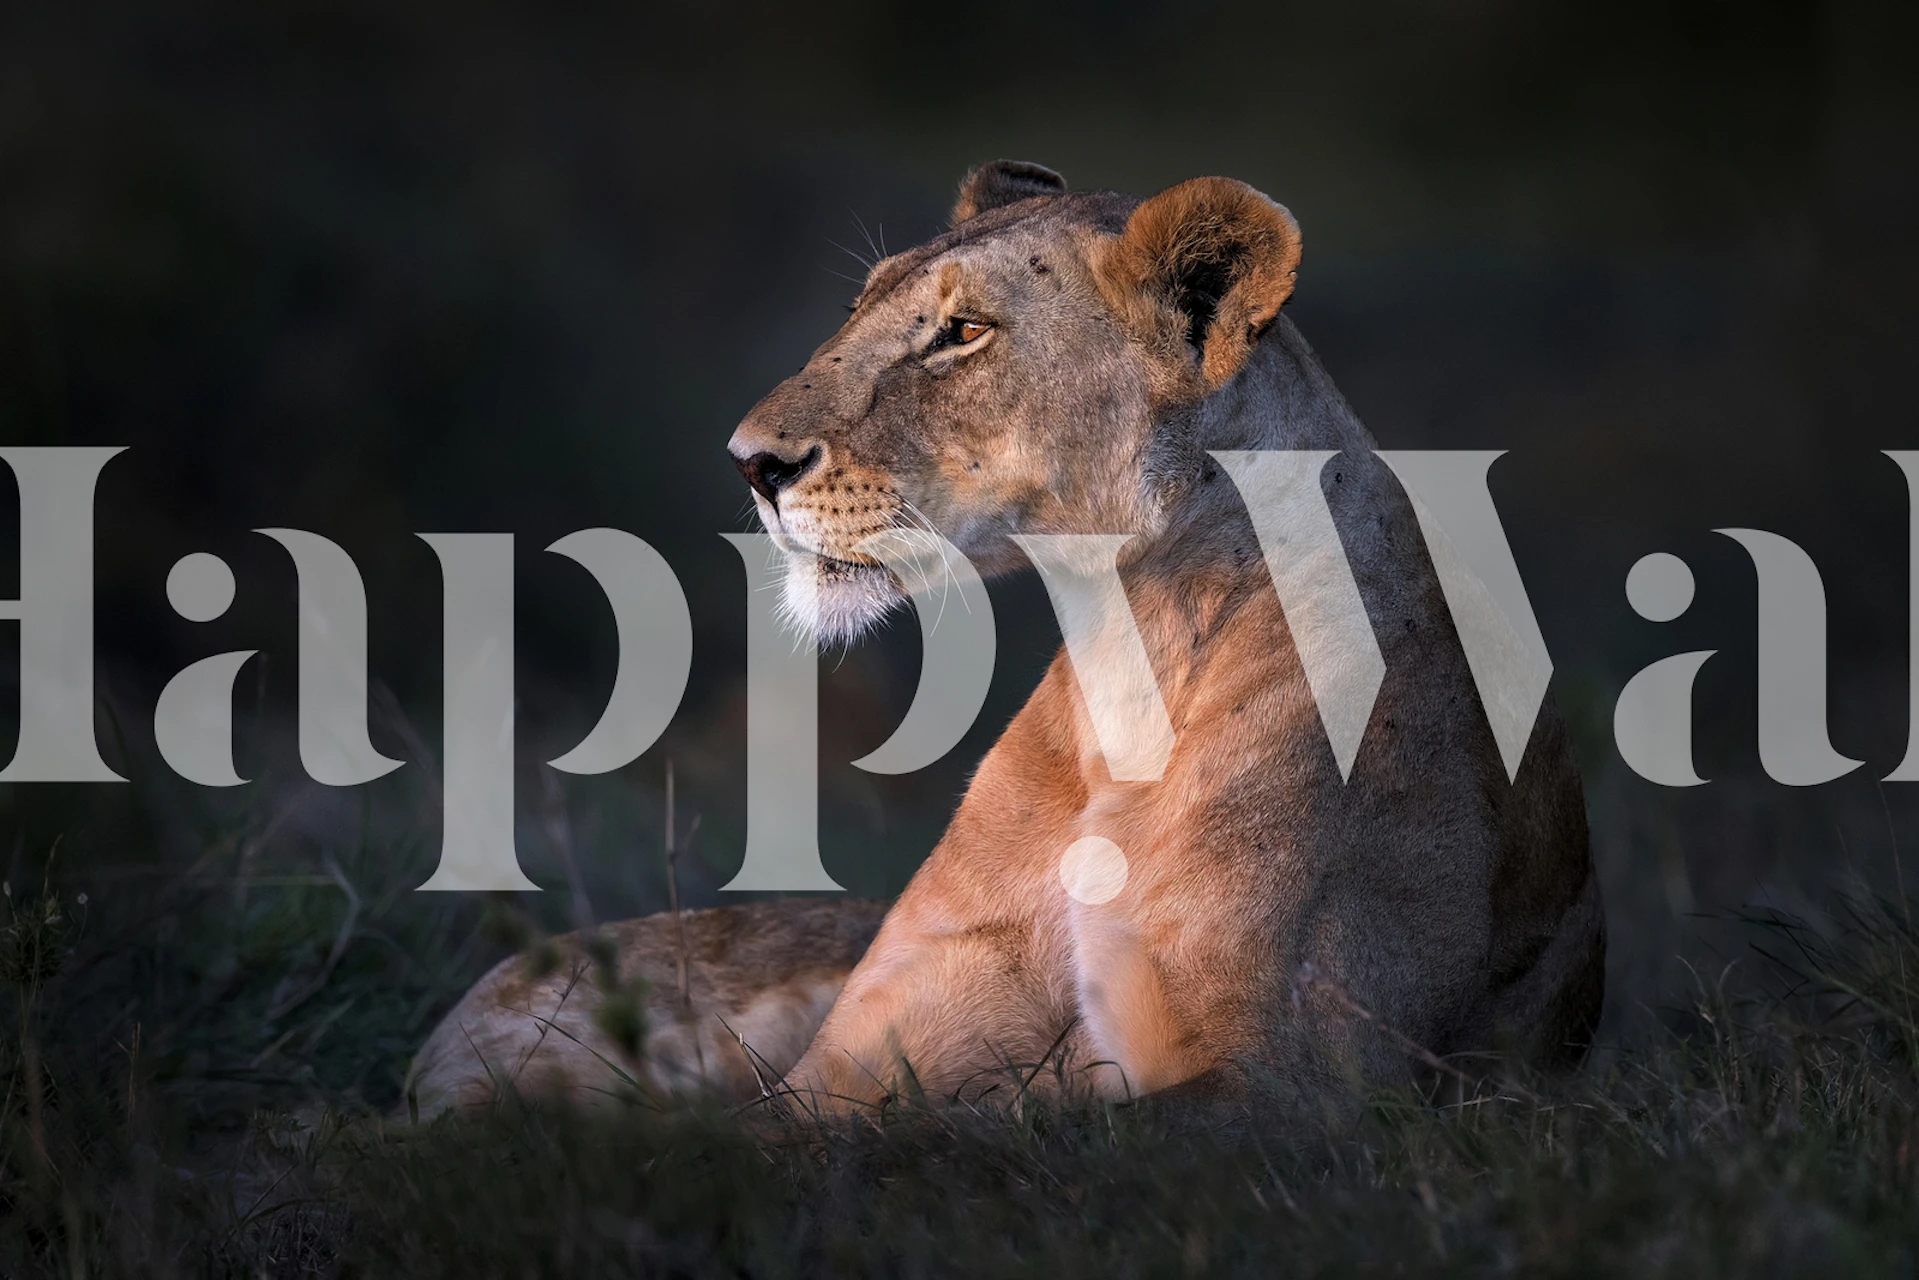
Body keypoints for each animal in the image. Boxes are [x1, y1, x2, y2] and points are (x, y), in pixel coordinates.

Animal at [407, 161, 1604, 1120]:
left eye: (963, 332)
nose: (751, 462)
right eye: (859, 308)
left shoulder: (1297, 1083)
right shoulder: (848, 1059)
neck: (1126, 654)